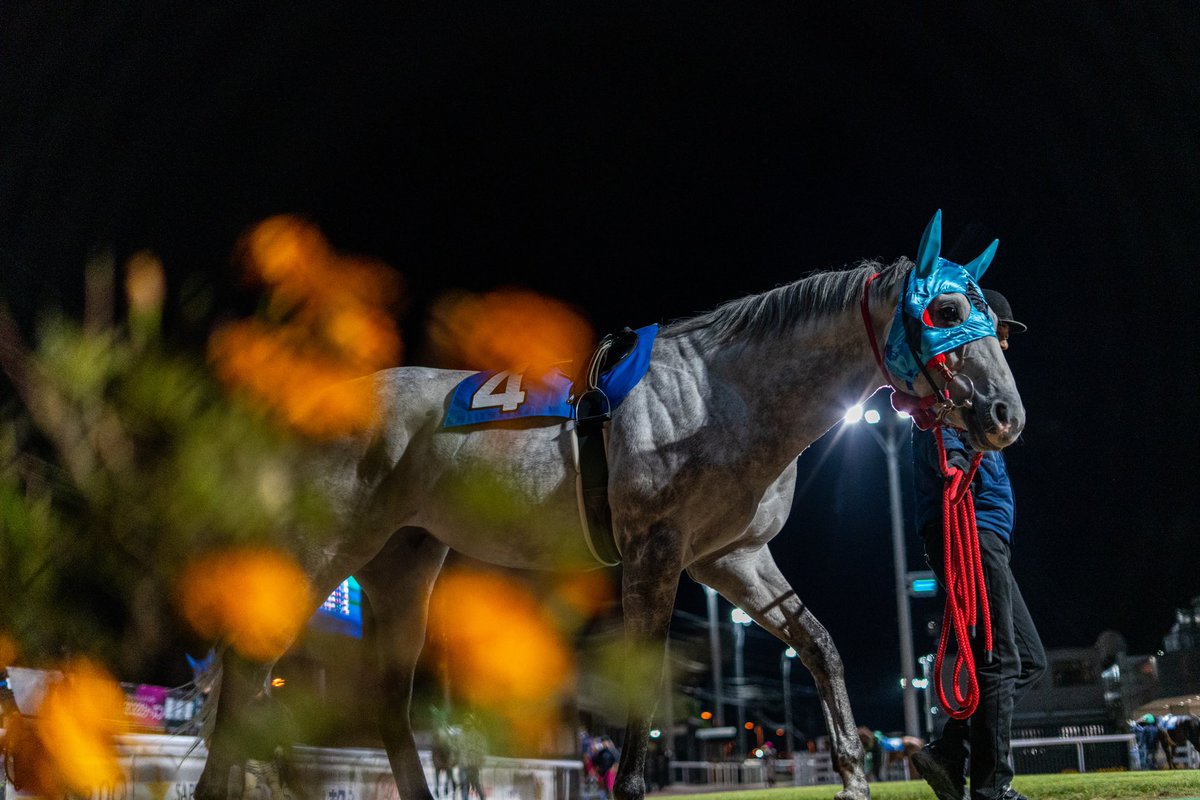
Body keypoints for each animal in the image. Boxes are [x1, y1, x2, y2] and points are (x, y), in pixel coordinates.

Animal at [196, 225, 1022, 800]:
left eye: (998, 323)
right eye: (946, 309)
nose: (1004, 414)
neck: (717, 392)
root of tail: (305, 407)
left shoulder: (731, 558)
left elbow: (818, 645)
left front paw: (852, 777)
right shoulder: (657, 550)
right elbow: (644, 673)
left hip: (403, 563)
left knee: (386, 705)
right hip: (319, 548)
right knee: (248, 673)